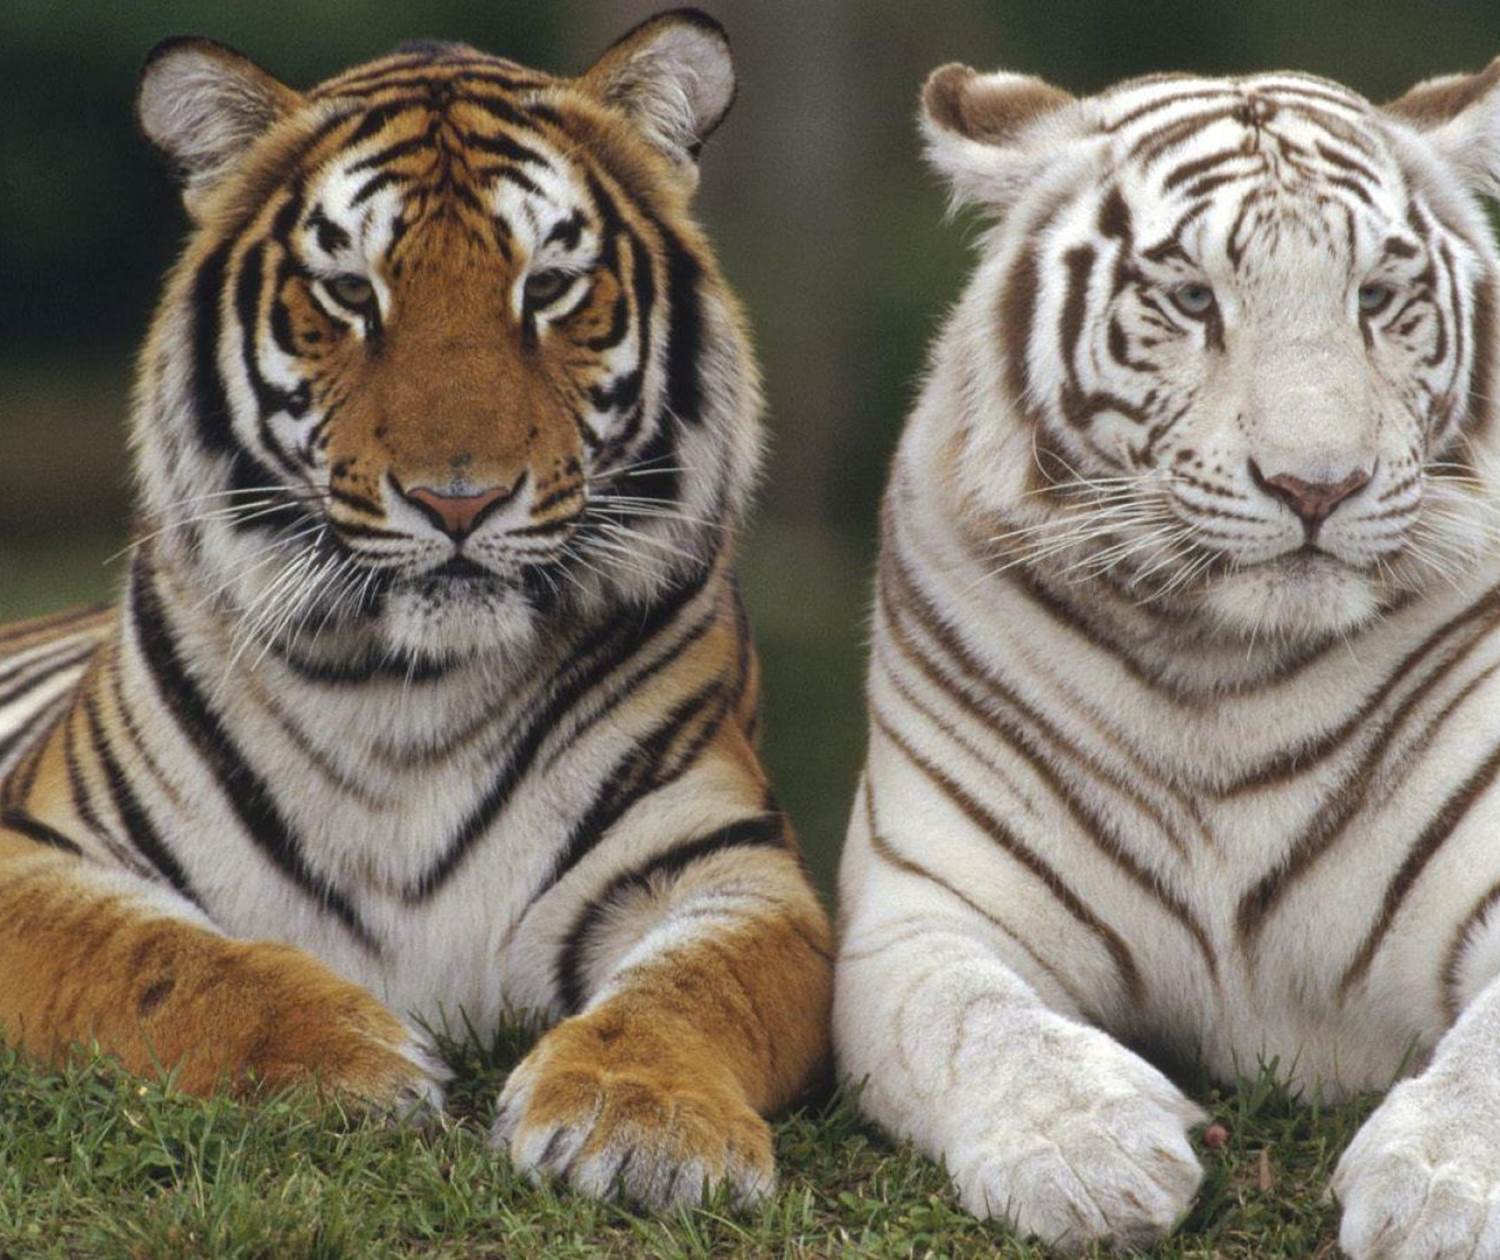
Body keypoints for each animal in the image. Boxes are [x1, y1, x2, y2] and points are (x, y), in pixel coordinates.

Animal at [0, 9, 831, 1210]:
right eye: (350, 292)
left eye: (550, 285)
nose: (458, 500)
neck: (404, 693)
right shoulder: (39, 852)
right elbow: (157, 960)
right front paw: (340, 1055)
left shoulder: (728, 866)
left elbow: (697, 988)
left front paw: (645, 1121)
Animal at [834, 52, 1500, 1257]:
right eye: (1191, 299)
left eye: (1376, 297)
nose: (1317, 485)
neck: (1223, 667)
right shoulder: (920, 909)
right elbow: (974, 1018)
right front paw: (1085, 1154)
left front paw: (1438, 1193)